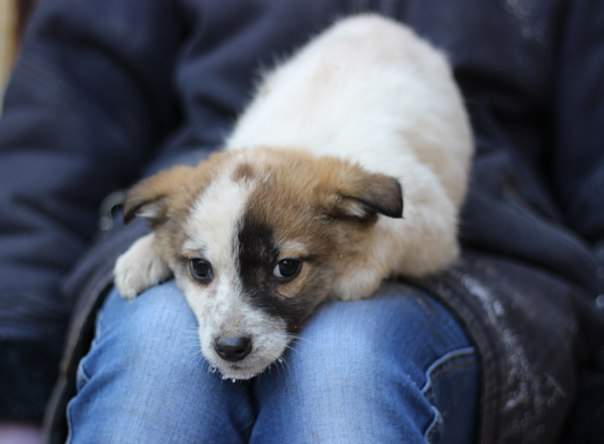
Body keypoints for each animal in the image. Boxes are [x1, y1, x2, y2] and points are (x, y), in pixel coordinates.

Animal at [114, 14, 473, 380]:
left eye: (286, 268)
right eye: (200, 269)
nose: (230, 348)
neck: (299, 143)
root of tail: (374, 20)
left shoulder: (433, 221)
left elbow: (392, 231)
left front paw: (357, 270)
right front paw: (143, 254)